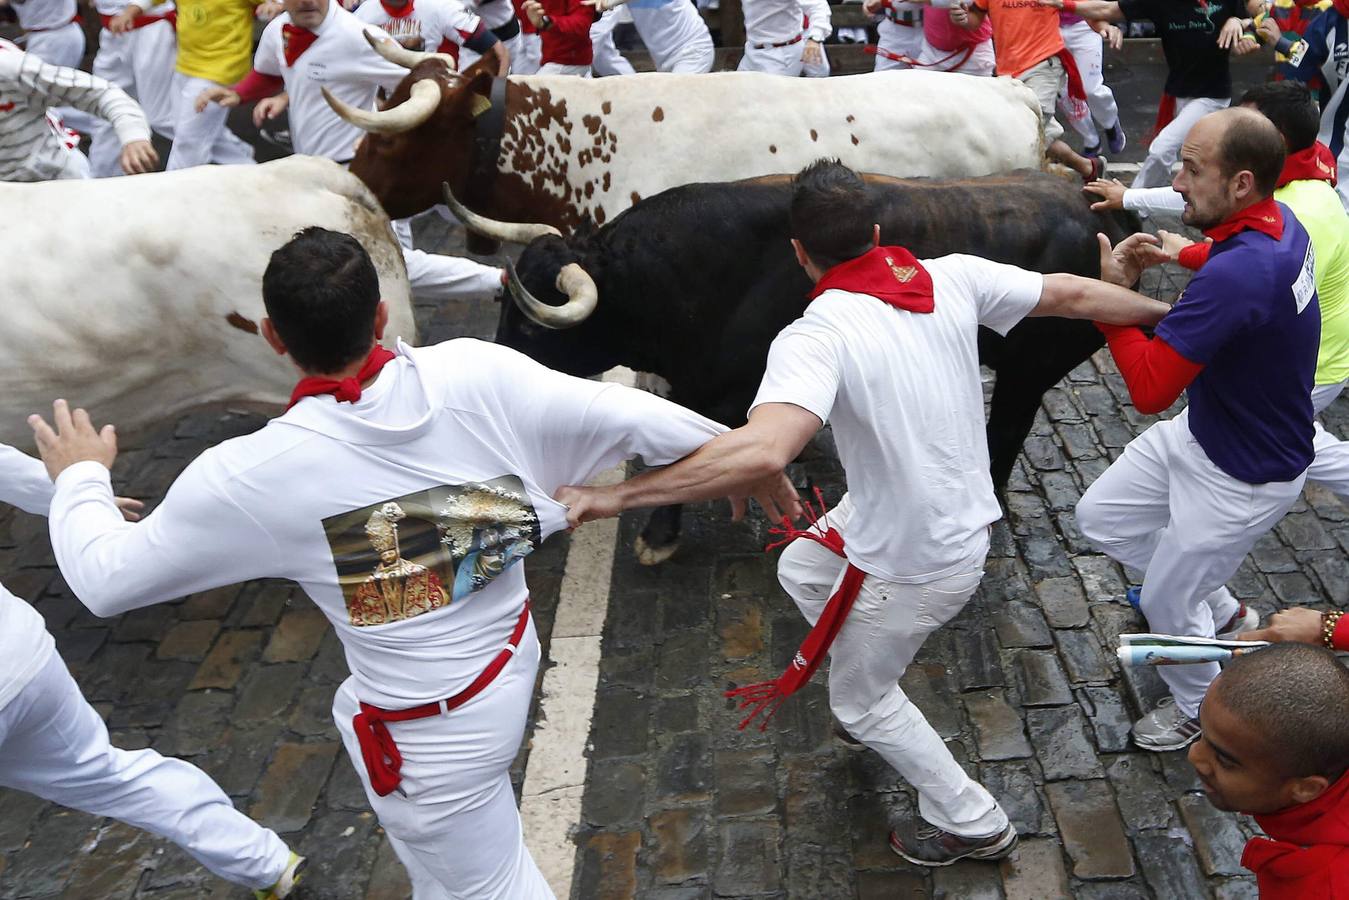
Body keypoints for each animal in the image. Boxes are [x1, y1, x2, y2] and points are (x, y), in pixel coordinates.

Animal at [496, 168, 1138, 564]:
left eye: (530, 326)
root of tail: (1101, 212)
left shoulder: (733, 389)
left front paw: (658, 537)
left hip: (1030, 370)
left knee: (1005, 431)